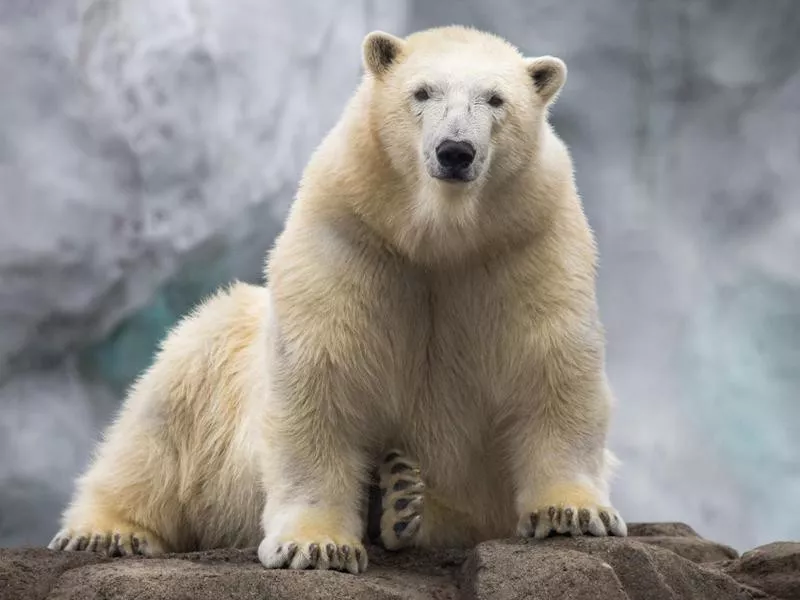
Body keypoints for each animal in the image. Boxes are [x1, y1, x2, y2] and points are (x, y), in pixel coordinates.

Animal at [47, 25, 628, 576]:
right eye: (422, 91)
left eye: (495, 99)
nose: (455, 151)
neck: (440, 239)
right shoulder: (352, 235)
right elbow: (322, 377)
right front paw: (318, 545)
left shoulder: (526, 242)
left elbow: (552, 365)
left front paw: (572, 512)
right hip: (214, 362)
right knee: (158, 423)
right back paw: (106, 531)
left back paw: (399, 503)